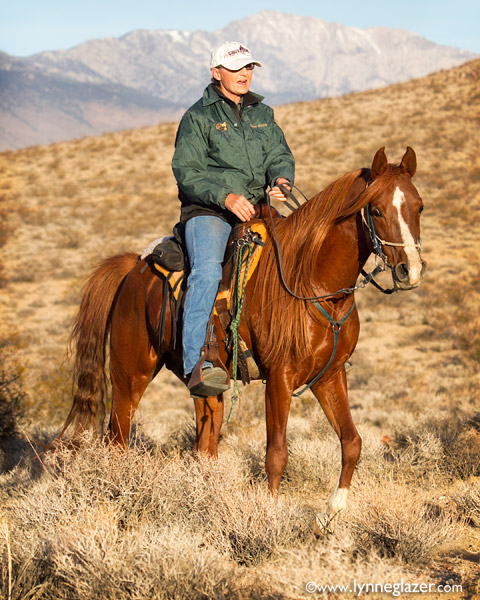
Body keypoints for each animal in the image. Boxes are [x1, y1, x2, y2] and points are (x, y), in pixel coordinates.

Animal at [55, 148, 424, 528]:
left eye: (419, 207)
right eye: (376, 210)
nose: (410, 270)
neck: (313, 282)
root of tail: (132, 269)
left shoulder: (330, 375)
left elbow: (351, 442)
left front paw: (329, 514)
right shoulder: (279, 377)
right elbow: (276, 453)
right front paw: (271, 515)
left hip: (206, 387)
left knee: (203, 448)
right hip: (130, 377)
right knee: (117, 440)